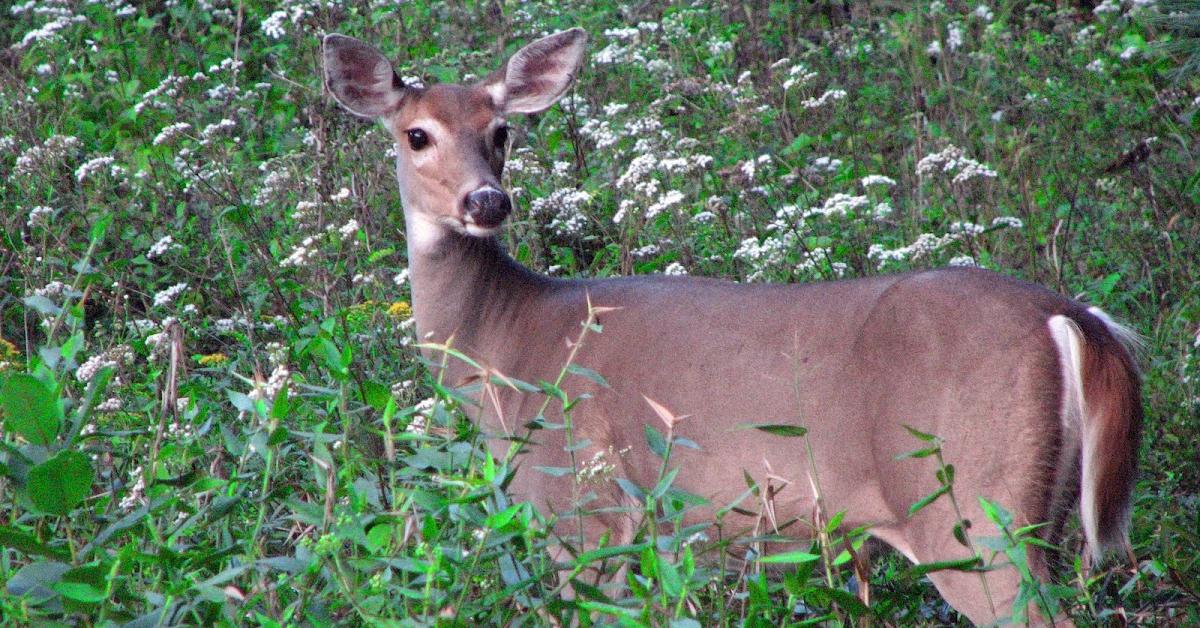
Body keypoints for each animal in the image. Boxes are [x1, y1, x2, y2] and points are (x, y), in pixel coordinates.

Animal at [321, 28, 1142, 624]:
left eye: (502, 132)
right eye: (417, 134)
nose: (487, 202)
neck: (506, 348)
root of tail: (1071, 317)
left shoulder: (582, 505)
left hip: (970, 502)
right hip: (1041, 514)